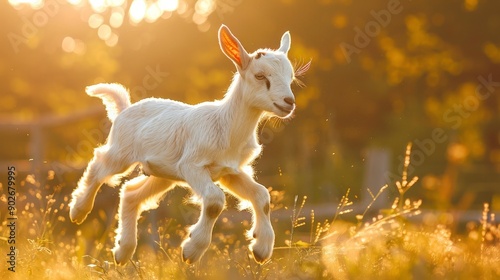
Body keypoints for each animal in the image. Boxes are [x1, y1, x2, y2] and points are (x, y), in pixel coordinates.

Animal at [66, 24, 308, 264]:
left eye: (290, 77)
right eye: (259, 76)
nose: (289, 102)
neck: (225, 125)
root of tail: (124, 109)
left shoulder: (230, 171)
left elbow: (262, 196)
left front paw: (261, 250)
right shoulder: (192, 165)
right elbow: (214, 201)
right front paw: (191, 251)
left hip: (162, 173)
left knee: (130, 193)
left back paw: (122, 252)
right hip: (122, 151)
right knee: (99, 165)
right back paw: (78, 211)